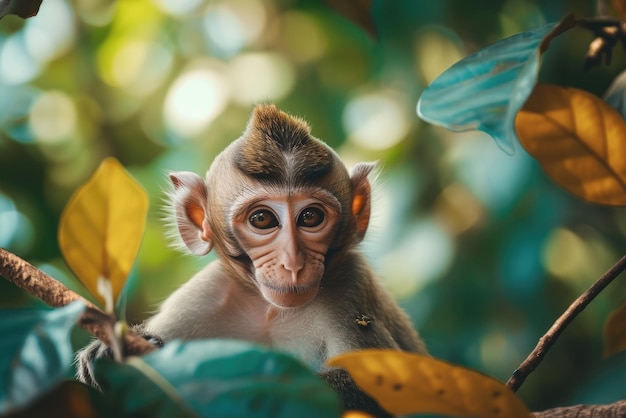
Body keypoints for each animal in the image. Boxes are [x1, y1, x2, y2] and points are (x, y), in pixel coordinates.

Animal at [73, 103, 424, 416]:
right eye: (262, 220)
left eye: (310, 217)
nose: (292, 263)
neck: (270, 312)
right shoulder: (200, 298)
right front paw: (114, 355)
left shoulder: (351, 286)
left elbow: (386, 390)